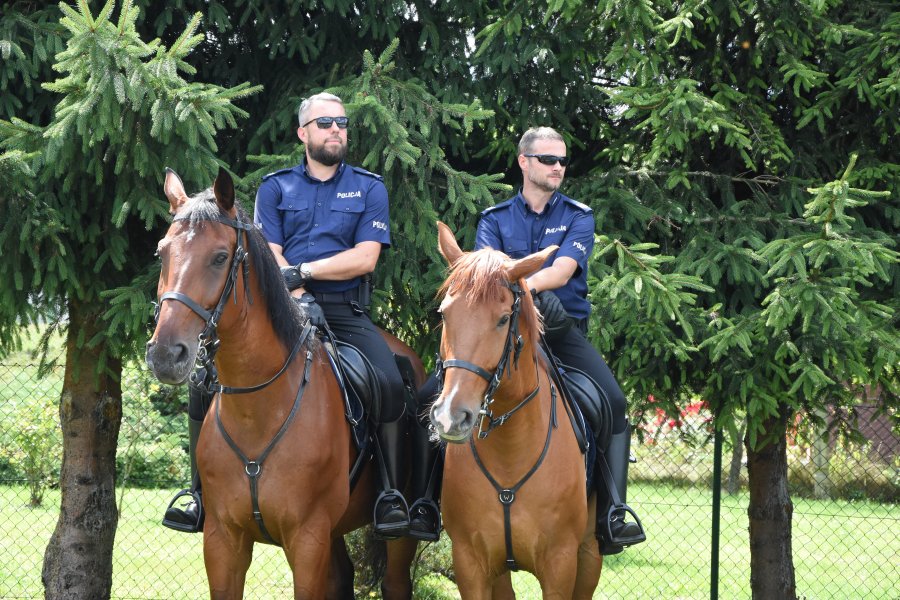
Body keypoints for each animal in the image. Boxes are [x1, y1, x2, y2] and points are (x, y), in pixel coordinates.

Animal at [147, 169, 422, 600]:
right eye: (162, 254)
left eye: (220, 257)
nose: (165, 353)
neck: (258, 407)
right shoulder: (223, 541)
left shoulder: (307, 540)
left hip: (396, 534)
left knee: (395, 580)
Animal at [430, 221, 600, 600]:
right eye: (444, 313)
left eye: (503, 319)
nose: (451, 417)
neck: (510, 452)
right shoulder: (471, 563)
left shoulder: (560, 565)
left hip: (589, 555)